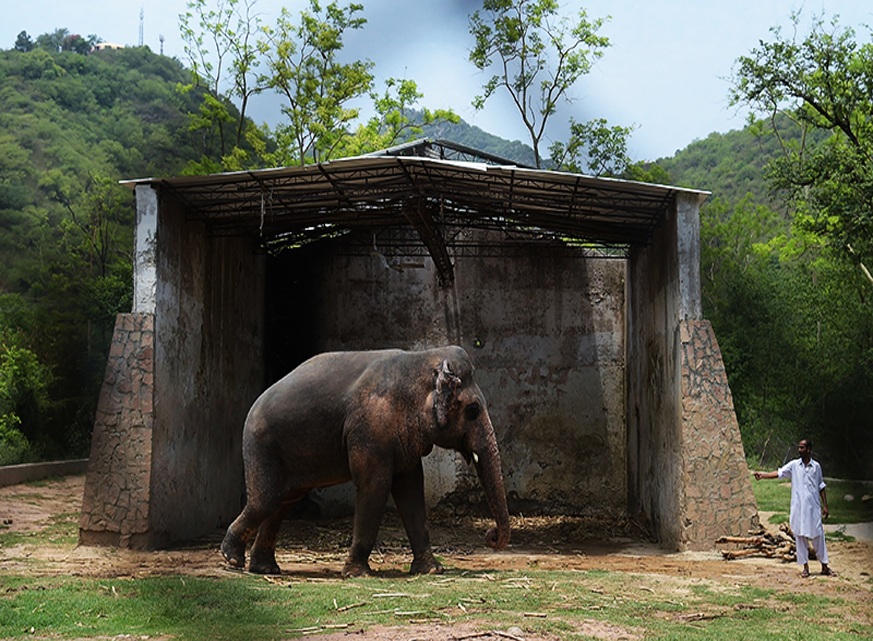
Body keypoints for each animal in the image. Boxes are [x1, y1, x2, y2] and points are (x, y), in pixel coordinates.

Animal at [217, 344, 510, 576]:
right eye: (473, 410)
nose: (491, 535)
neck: (422, 359)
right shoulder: (370, 429)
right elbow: (375, 486)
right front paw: (358, 574)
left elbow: (411, 489)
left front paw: (431, 570)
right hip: (261, 445)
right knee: (266, 500)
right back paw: (232, 559)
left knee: (282, 502)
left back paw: (263, 569)